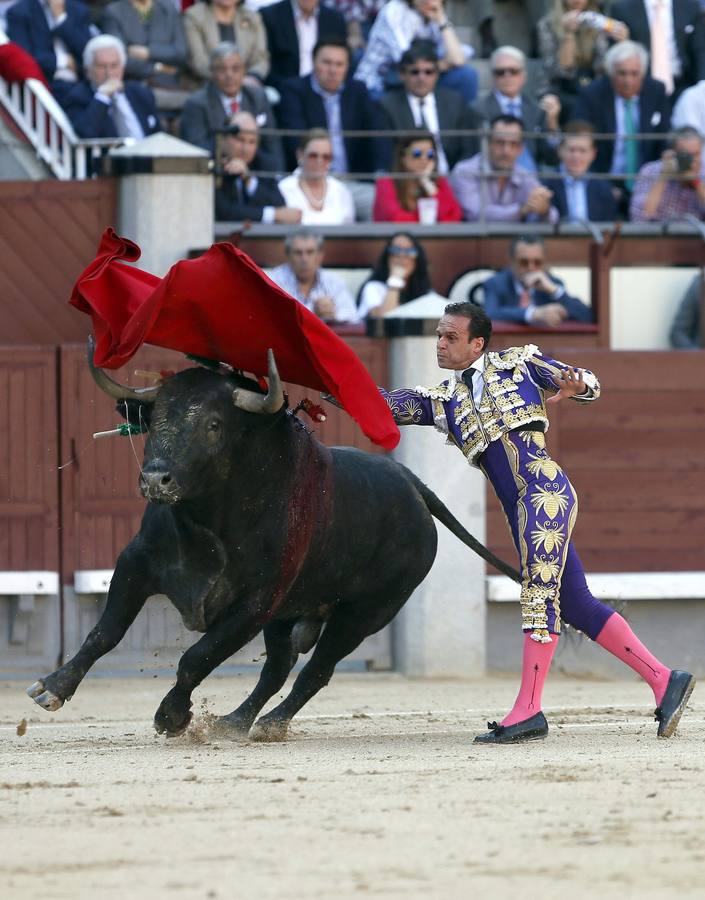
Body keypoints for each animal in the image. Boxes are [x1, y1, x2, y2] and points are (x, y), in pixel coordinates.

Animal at [27, 350, 516, 740]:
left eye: (213, 424)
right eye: (155, 420)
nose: (154, 479)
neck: (206, 522)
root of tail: (412, 484)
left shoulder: (256, 603)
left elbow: (196, 658)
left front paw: (171, 716)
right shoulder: (135, 565)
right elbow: (104, 632)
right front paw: (53, 687)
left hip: (366, 613)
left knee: (316, 670)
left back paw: (268, 724)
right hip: (292, 615)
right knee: (278, 667)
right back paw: (236, 721)